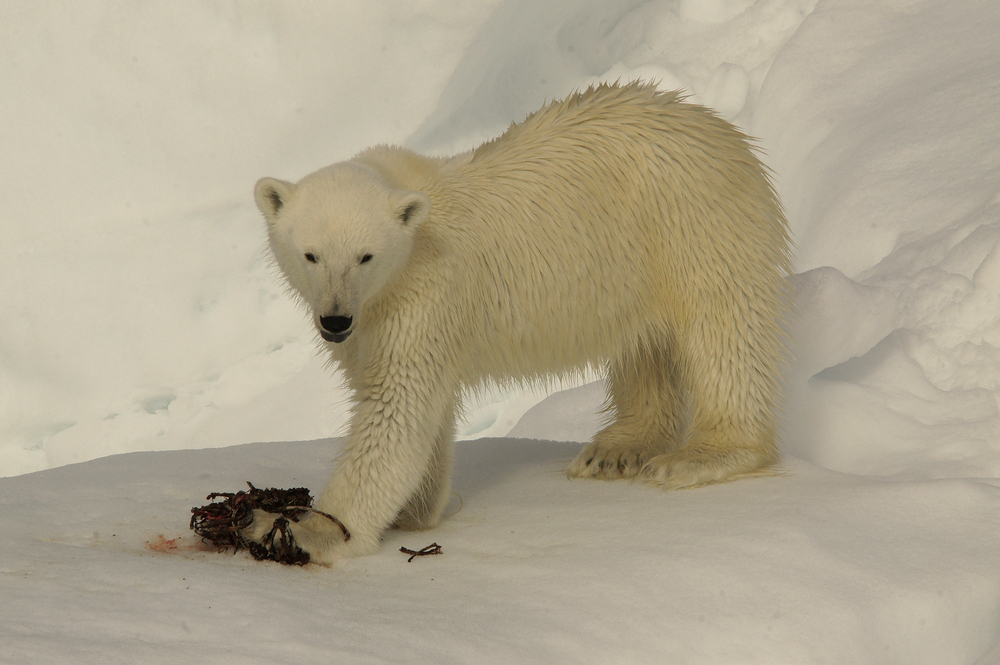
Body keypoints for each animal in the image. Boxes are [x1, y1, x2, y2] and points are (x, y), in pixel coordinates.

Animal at [248, 80, 788, 564]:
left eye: (366, 255)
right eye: (310, 254)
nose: (335, 320)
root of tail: (716, 127)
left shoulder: (425, 293)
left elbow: (396, 406)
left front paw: (307, 532)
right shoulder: (373, 322)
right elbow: (417, 409)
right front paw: (416, 510)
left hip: (694, 226)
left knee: (724, 332)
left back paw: (701, 456)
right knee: (642, 347)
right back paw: (616, 450)